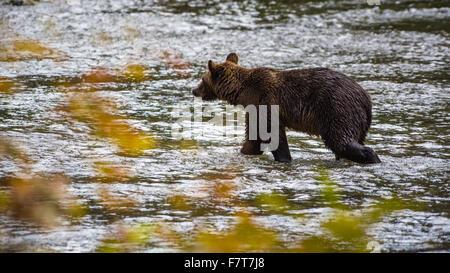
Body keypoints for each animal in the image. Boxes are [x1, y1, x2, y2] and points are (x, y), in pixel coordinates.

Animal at [192, 53, 382, 164]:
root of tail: (366, 98)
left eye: (202, 78)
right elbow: (253, 137)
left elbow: (273, 133)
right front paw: (244, 151)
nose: (194, 90)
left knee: (341, 140)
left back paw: (373, 157)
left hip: (337, 108)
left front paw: (283, 158)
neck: (243, 93)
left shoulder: (265, 102)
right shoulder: (254, 110)